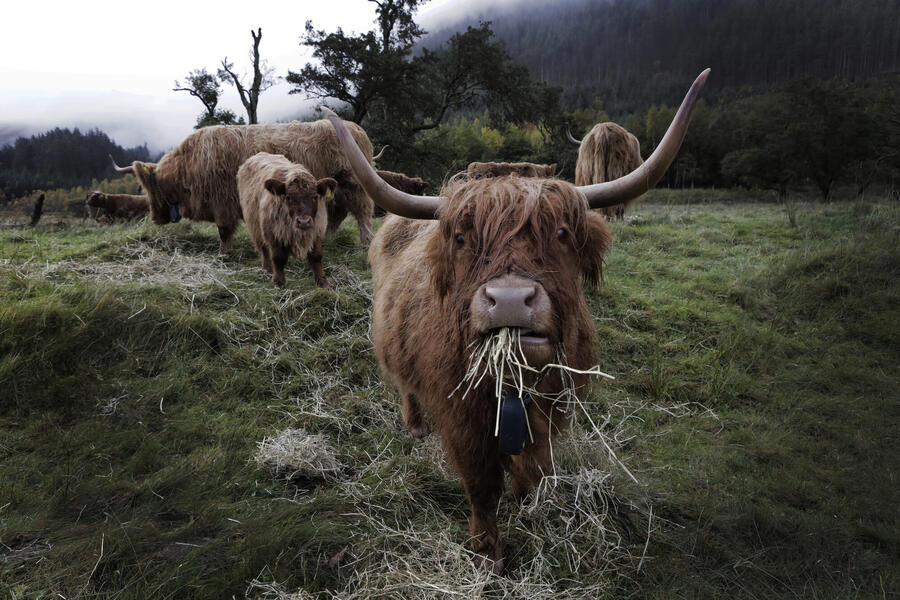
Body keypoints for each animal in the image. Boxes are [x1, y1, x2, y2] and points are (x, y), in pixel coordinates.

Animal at [110, 119, 375, 254]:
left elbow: (224, 230)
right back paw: (328, 238)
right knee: (338, 211)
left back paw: (366, 240)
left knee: (362, 210)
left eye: (147, 188)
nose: (154, 217)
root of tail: (355, 127)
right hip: (335, 188)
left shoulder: (223, 202)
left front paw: (223, 253)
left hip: (354, 183)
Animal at [237, 153, 336, 288]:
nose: (303, 221)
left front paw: (323, 282)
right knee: (263, 248)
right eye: (289, 197)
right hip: (255, 225)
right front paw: (278, 282)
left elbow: (316, 256)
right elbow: (278, 258)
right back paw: (268, 269)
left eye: (314, 197)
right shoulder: (273, 234)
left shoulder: (316, 231)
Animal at [323, 69, 710, 573]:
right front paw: (488, 553)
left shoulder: (551, 408)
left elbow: (534, 467)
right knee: (404, 382)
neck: (511, 384)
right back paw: (415, 425)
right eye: (462, 238)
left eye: (561, 234)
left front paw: (526, 498)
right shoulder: (462, 420)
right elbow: (481, 488)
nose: (508, 301)